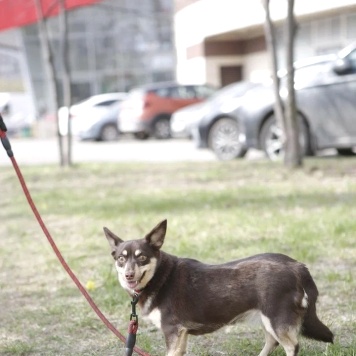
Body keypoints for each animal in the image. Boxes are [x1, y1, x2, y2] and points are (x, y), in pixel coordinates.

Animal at [103, 220, 334, 356]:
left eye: (142, 257)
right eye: (121, 259)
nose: (128, 275)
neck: (160, 276)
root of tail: (297, 266)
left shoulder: (173, 332)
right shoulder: (181, 336)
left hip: (277, 319)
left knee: (291, 346)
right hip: (268, 319)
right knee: (272, 342)